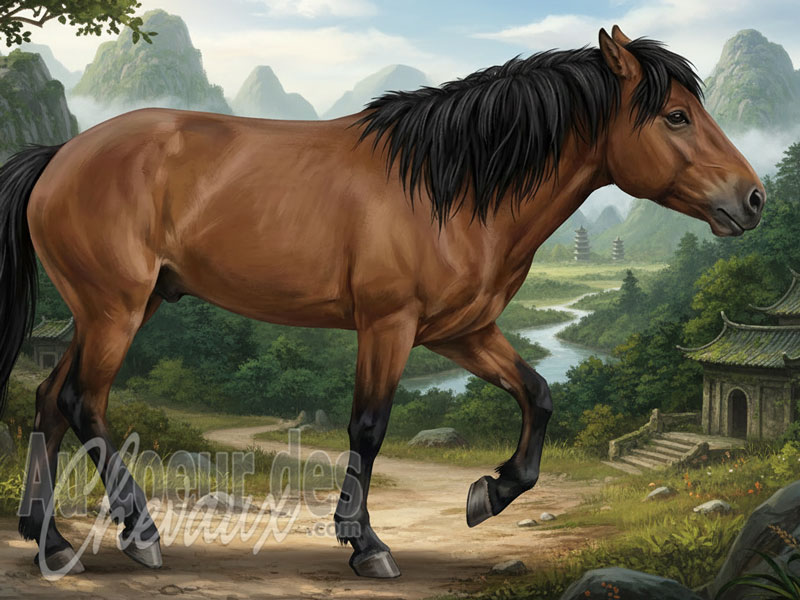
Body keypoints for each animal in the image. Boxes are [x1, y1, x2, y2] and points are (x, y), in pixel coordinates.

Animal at [0, 25, 763, 579]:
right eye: (675, 115)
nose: (752, 198)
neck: (450, 188)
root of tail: (61, 154)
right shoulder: (388, 325)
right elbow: (368, 428)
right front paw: (366, 544)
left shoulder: (462, 332)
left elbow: (540, 395)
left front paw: (489, 494)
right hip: (116, 310)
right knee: (83, 403)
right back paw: (139, 532)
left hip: (118, 309)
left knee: (48, 400)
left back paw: (52, 540)